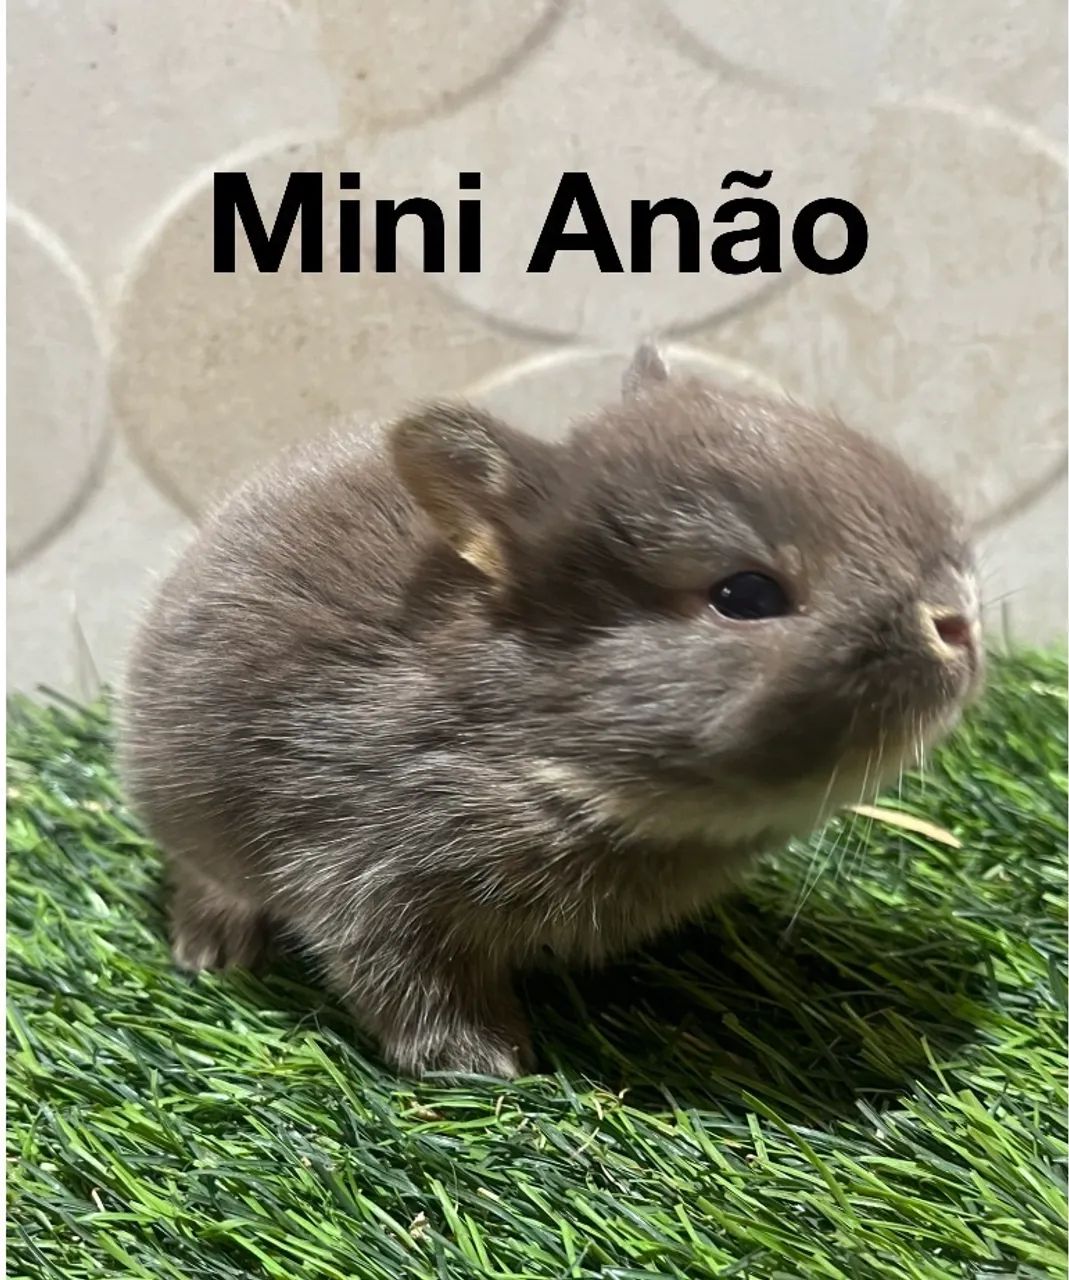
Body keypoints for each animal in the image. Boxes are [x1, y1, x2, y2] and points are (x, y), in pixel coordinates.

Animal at [118, 343, 983, 1078]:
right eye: (745, 594)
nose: (958, 621)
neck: (538, 749)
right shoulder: (368, 876)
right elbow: (406, 982)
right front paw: (485, 1063)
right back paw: (215, 951)